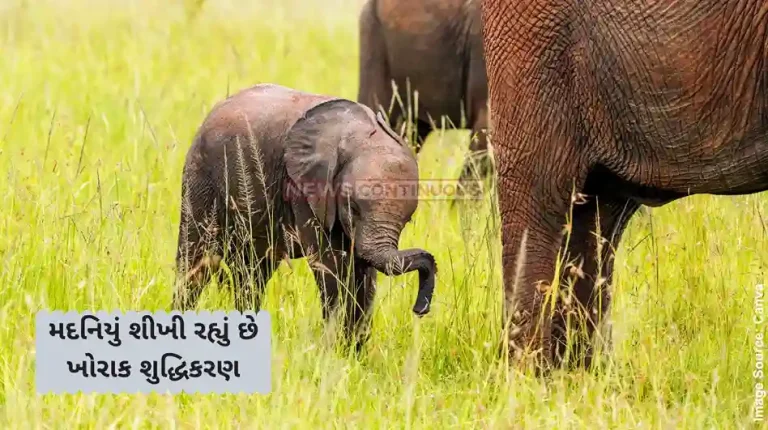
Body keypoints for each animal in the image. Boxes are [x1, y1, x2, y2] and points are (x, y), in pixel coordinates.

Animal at [173, 83, 437, 351]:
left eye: (408, 220)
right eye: (353, 207)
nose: (420, 309)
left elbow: (363, 275)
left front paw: (351, 354)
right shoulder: (305, 189)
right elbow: (332, 267)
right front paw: (333, 351)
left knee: (252, 274)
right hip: (201, 178)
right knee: (196, 262)